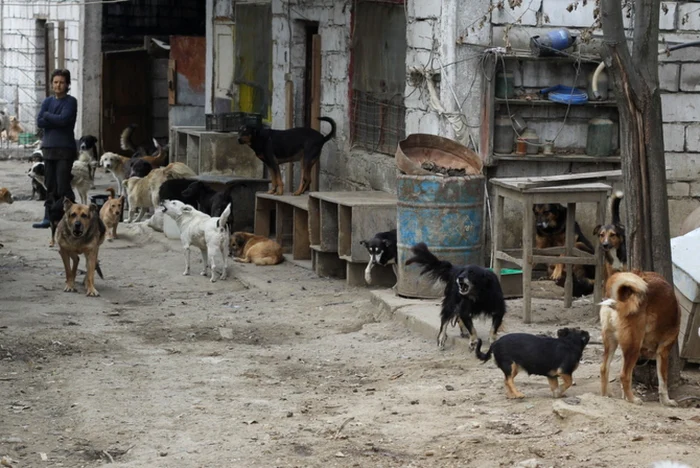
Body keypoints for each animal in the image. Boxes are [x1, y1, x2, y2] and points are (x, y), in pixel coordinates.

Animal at [600, 270, 680, 406]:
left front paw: (625, 397)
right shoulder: (663, 351)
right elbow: (663, 382)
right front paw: (666, 401)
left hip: (612, 342)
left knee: (604, 368)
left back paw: (606, 395)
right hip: (634, 347)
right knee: (624, 375)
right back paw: (633, 399)